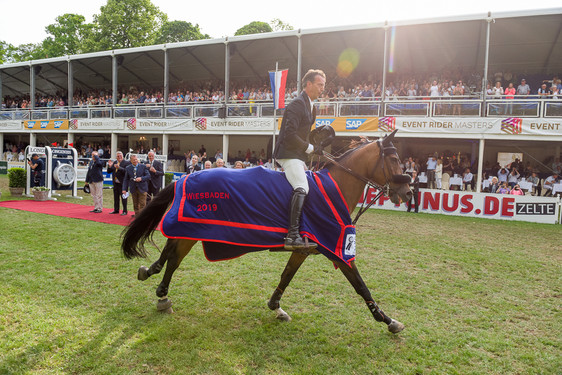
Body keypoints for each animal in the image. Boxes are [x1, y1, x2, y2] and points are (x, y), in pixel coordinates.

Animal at [121, 130, 412, 334]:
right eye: (394, 159)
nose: (407, 192)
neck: (335, 187)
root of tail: (186, 177)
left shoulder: (304, 249)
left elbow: (287, 275)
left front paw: (276, 306)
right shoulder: (337, 249)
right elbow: (361, 285)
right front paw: (387, 320)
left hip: (189, 231)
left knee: (172, 256)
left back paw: (157, 285)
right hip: (189, 229)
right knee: (172, 256)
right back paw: (157, 285)